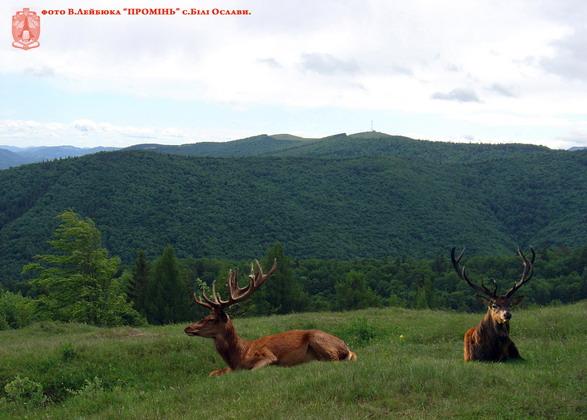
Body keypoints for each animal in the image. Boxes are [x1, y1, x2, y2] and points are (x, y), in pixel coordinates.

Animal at [184, 260, 358, 376]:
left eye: (211, 319)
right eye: (205, 315)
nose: (188, 327)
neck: (239, 355)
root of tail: (347, 348)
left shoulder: (267, 355)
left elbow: (252, 370)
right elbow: (214, 373)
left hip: (318, 338)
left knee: (333, 360)